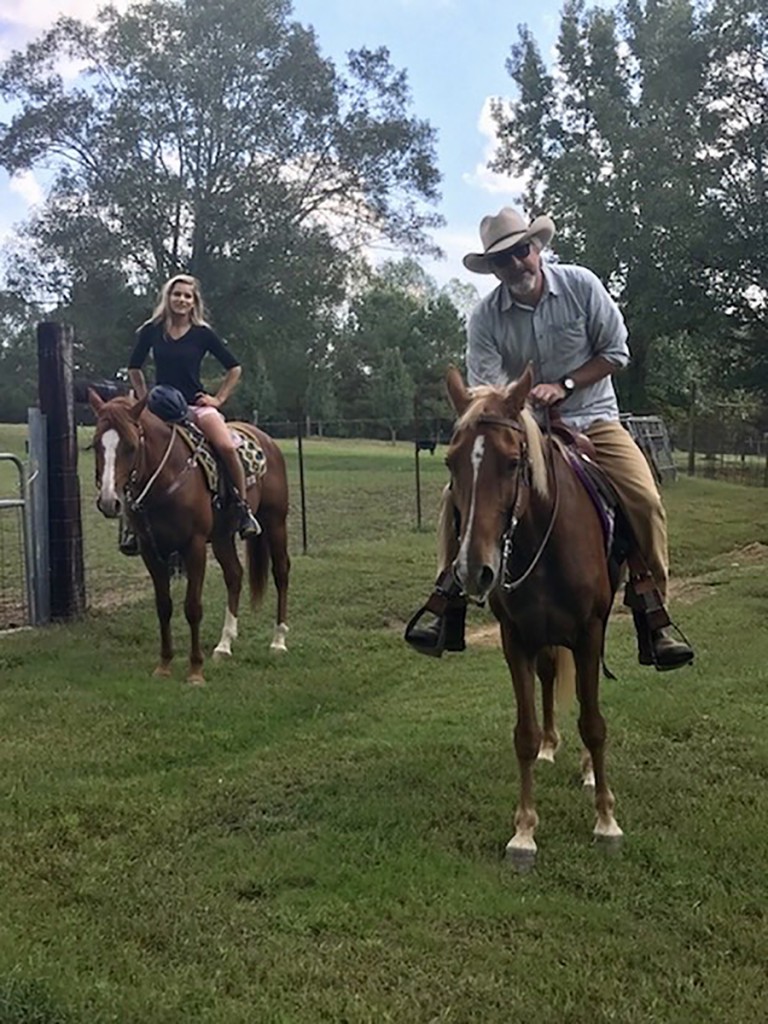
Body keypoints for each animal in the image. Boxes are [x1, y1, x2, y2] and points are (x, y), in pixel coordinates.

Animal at [88, 391, 290, 688]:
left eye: (130, 445)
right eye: (95, 445)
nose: (108, 501)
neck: (167, 477)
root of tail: (266, 439)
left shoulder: (193, 547)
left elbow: (192, 607)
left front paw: (195, 671)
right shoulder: (151, 551)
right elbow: (164, 606)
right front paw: (164, 665)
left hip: (275, 522)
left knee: (281, 572)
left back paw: (278, 640)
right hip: (222, 537)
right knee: (235, 575)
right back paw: (224, 644)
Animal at [444, 364, 626, 868]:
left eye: (511, 463)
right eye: (451, 463)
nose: (474, 569)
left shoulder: (589, 633)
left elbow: (594, 723)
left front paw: (605, 820)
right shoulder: (517, 638)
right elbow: (523, 732)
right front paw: (524, 831)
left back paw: (586, 770)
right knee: (549, 676)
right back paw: (550, 746)